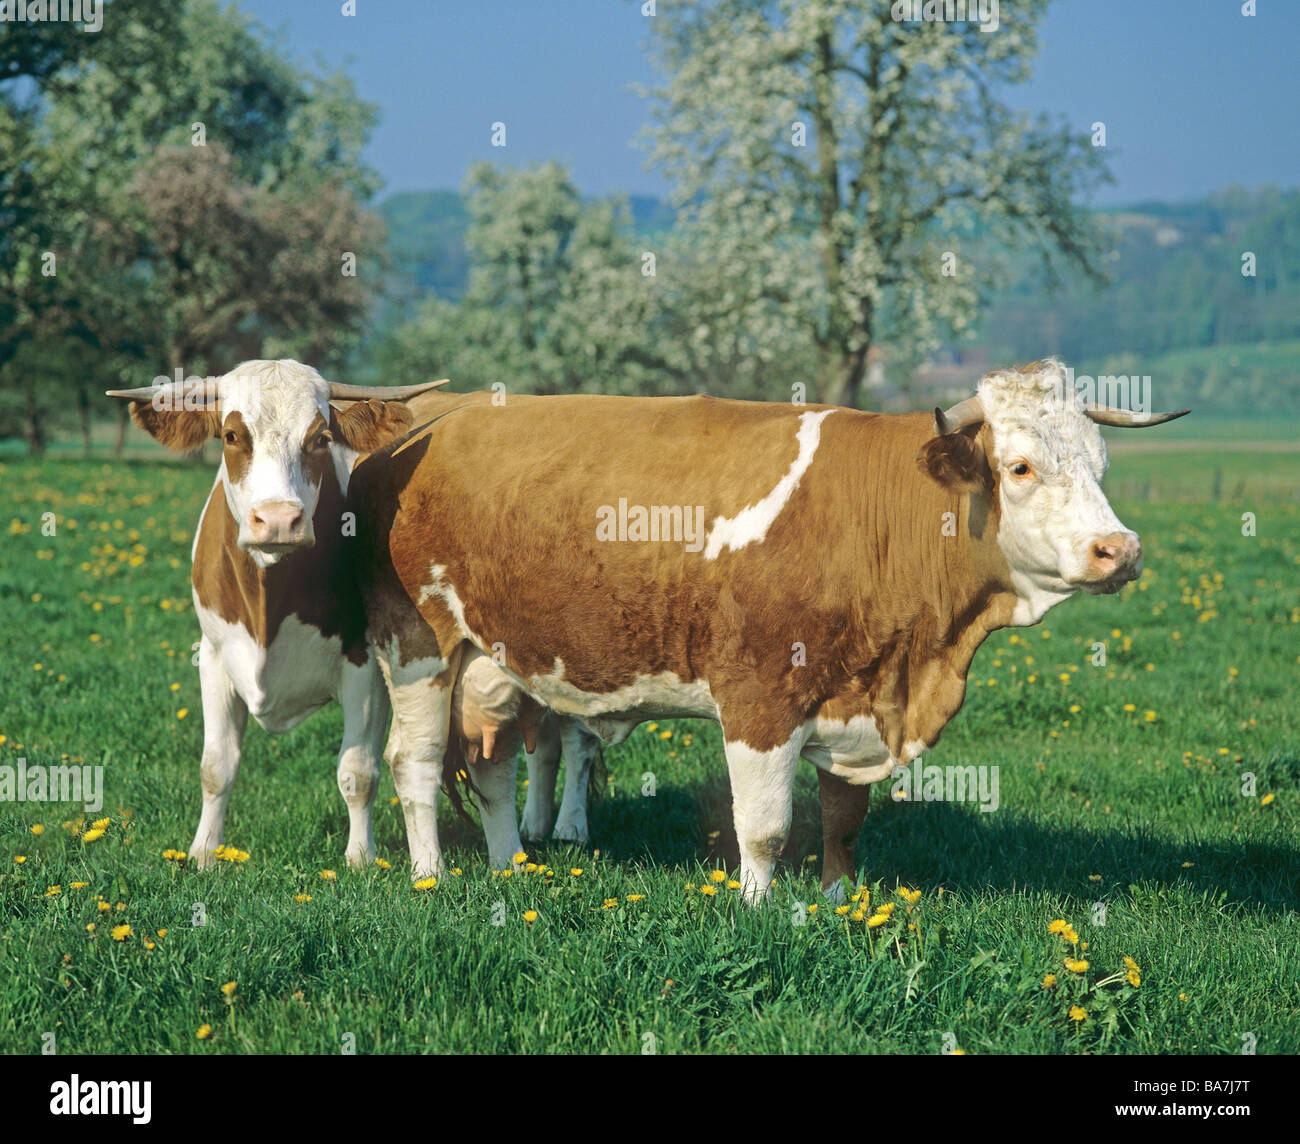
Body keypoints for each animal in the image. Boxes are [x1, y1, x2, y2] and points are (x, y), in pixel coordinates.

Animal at [107, 360, 445, 869]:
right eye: (231, 435)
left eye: (321, 438)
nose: (280, 520)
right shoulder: (213, 657)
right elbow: (216, 766)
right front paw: (204, 851)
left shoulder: (366, 665)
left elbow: (358, 772)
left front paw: (360, 858)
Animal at [350, 359, 1187, 897]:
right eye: (1018, 468)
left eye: (1100, 464)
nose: (1120, 551)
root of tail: (431, 421)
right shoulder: (760, 698)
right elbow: (764, 827)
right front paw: (757, 910)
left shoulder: (855, 696)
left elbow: (844, 821)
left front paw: (843, 903)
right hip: (419, 647)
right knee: (413, 763)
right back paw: (429, 876)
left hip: (491, 664)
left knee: (491, 765)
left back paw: (508, 868)